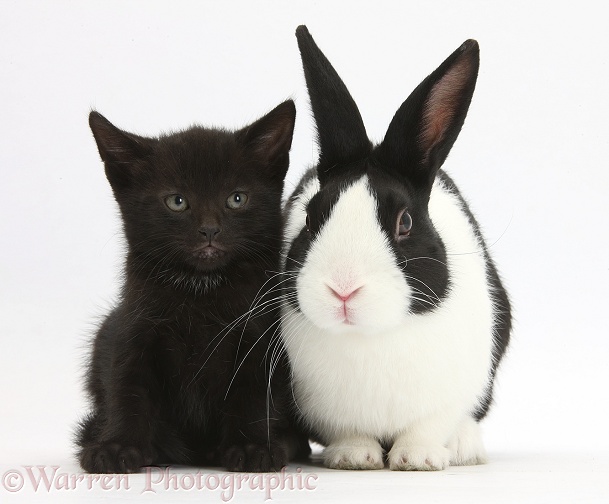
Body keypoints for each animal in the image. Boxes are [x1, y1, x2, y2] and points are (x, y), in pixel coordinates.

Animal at [77, 101, 308, 472]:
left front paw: (250, 447)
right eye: (177, 201)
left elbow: (253, 391)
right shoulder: (134, 328)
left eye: (236, 198)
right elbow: (127, 385)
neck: (202, 287)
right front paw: (118, 446)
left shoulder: (259, 334)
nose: (209, 230)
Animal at [282, 25, 512, 470]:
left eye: (404, 223)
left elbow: (428, 427)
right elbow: (348, 432)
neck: (370, 335)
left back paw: (465, 448)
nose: (343, 289)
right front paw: (355, 457)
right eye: (311, 218)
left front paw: (418, 459)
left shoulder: (451, 395)